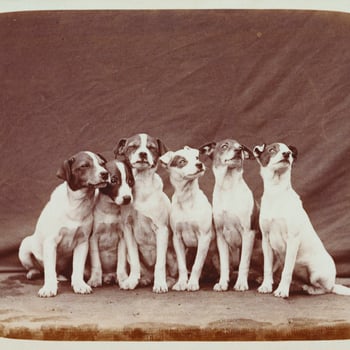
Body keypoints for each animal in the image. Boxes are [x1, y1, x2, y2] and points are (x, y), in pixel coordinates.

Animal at [18, 152, 108, 296]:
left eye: (102, 164)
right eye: (84, 166)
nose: (105, 174)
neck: (76, 204)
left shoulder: (83, 242)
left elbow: (77, 268)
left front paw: (79, 285)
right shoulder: (50, 242)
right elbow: (49, 271)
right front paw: (49, 288)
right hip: (24, 248)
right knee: (40, 269)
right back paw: (34, 273)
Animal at [87, 159, 140, 290]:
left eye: (130, 181)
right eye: (113, 180)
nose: (127, 198)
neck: (110, 210)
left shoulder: (122, 238)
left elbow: (121, 263)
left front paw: (123, 279)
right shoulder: (93, 238)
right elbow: (96, 262)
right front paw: (95, 279)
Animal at [160, 146, 215, 292]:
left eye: (196, 157)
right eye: (182, 161)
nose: (199, 164)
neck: (187, 199)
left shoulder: (204, 237)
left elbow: (197, 264)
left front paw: (192, 283)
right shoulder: (177, 238)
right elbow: (182, 266)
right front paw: (181, 283)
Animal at [200, 138, 258, 292]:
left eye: (240, 147)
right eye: (224, 146)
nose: (238, 150)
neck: (228, 186)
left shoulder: (248, 233)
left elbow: (244, 262)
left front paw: (241, 283)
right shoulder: (220, 235)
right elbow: (225, 264)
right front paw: (222, 283)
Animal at [254, 142, 350, 298]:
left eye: (289, 151)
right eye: (272, 149)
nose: (286, 154)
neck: (277, 193)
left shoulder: (292, 240)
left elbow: (287, 271)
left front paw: (282, 290)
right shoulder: (266, 241)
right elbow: (267, 267)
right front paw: (266, 285)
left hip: (316, 273)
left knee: (326, 289)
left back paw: (310, 289)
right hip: (280, 260)